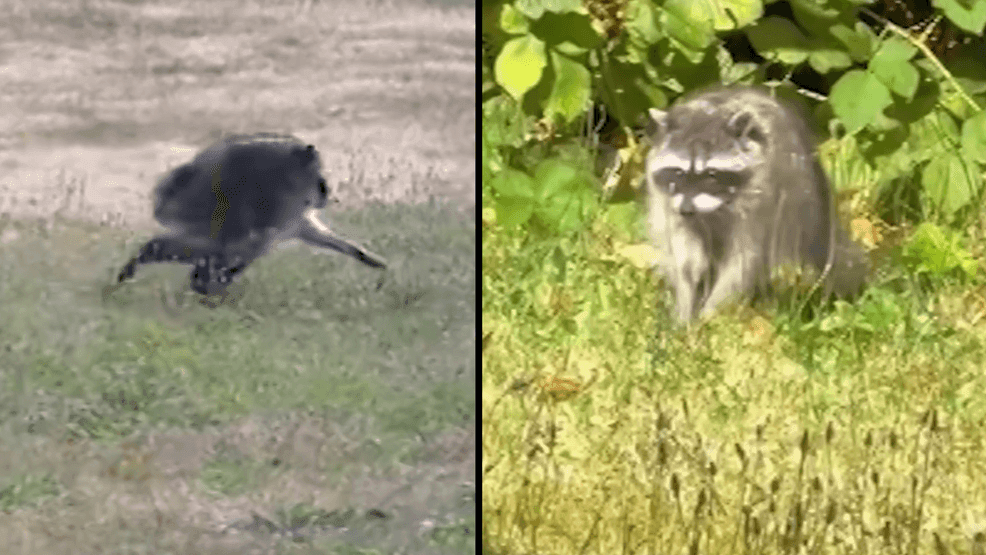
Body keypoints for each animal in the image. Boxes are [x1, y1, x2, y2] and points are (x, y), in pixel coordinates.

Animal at [644, 85, 867, 323]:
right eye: (678, 172)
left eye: (711, 174)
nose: (687, 210)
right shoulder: (671, 205)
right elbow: (687, 262)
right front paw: (685, 308)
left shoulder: (761, 203)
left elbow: (743, 259)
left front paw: (711, 313)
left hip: (801, 203)